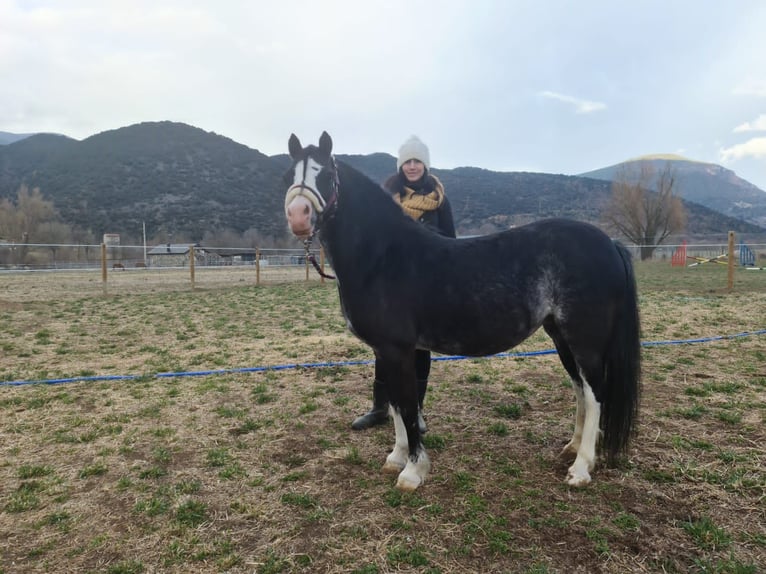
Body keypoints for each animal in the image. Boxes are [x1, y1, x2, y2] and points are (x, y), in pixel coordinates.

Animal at [284, 133, 640, 492]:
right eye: (289, 175)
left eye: (326, 174)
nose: (298, 216)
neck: (382, 257)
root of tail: (610, 243)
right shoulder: (386, 351)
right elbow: (397, 407)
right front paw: (396, 457)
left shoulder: (398, 350)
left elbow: (408, 408)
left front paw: (412, 472)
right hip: (561, 336)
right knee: (580, 389)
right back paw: (571, 448)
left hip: (585, 339)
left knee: (595, 393)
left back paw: (581, 469)